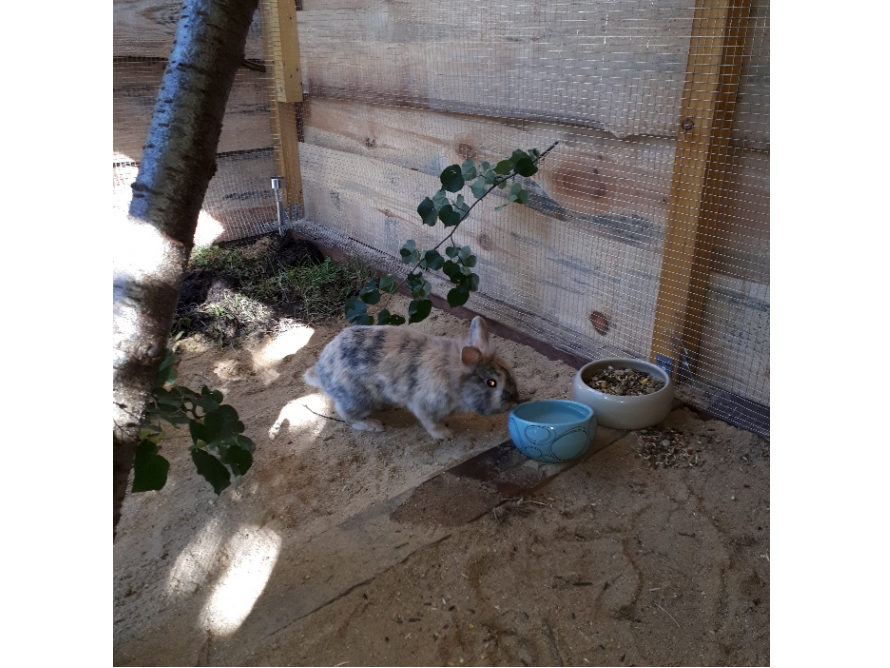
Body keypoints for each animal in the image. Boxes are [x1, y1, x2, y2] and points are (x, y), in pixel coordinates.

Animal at [303, 316, 520, 440]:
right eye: (491, 383)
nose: (515, 399)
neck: (452, 375)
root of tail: (321, 371)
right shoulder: (425, 406)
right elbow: (431, 423)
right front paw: (446, 435)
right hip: (357, 398)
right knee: (348, 415)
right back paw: (373, 425)